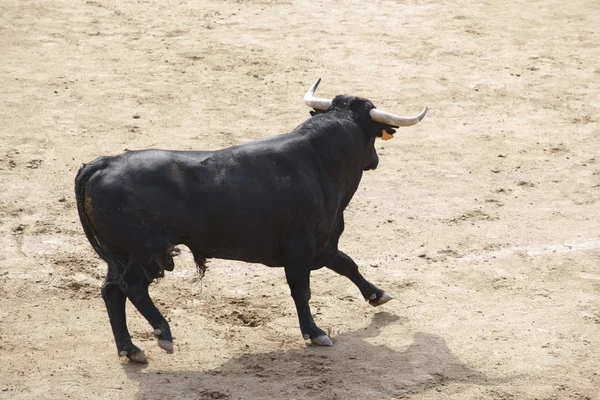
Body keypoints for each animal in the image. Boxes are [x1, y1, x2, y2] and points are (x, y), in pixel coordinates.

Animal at [75, 90, 424, 362]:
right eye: (373, 135)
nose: (374, 160)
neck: (318, 161)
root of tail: (102, 163)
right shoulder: (301, 248)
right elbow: (302, 290)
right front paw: (315, 332)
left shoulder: (323, 244)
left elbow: (347, 264)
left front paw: (377, 294)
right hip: (145, 253)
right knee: (132, 286)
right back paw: (163, 333)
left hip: (121, 255)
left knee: (111, 291)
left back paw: (130, 349)